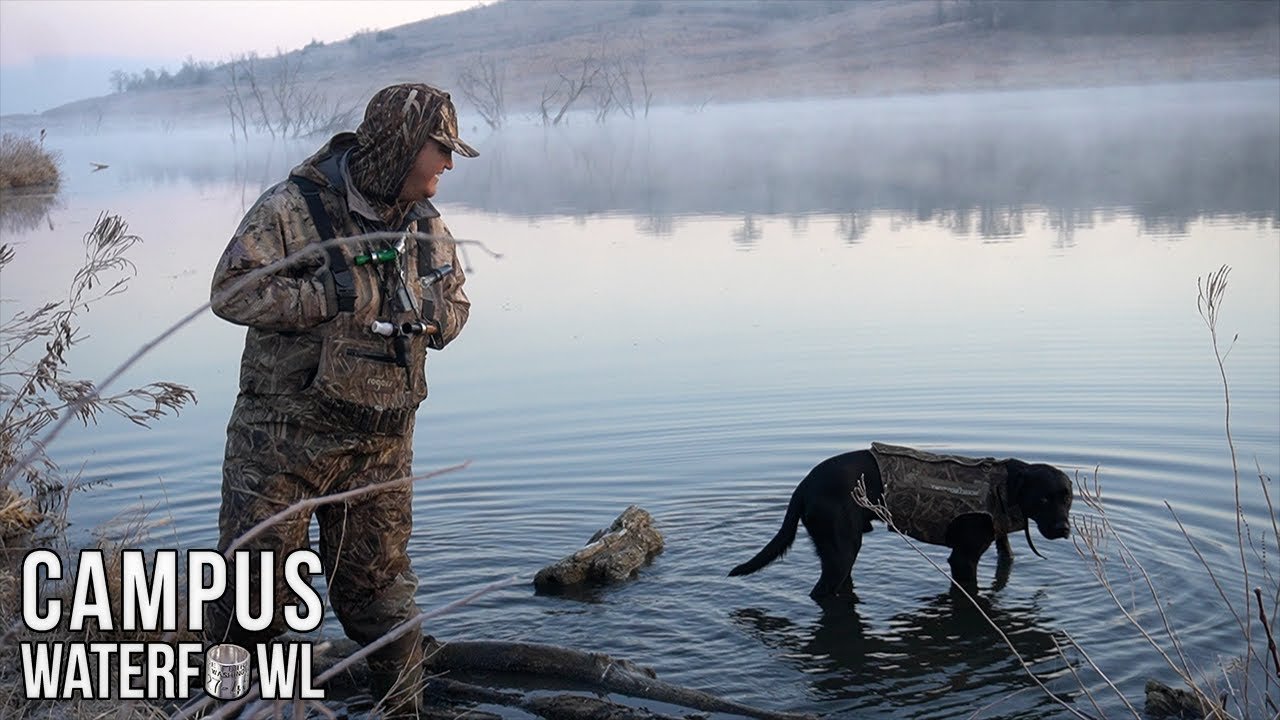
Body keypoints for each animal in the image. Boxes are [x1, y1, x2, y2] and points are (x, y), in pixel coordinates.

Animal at [732, 440, 1070, 597]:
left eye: (1067, 498)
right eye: (1043, 499)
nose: (1063, 529)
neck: (1002, 488)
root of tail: (804, 484)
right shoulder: (963, 559)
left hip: (840, 554)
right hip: (842, 551)